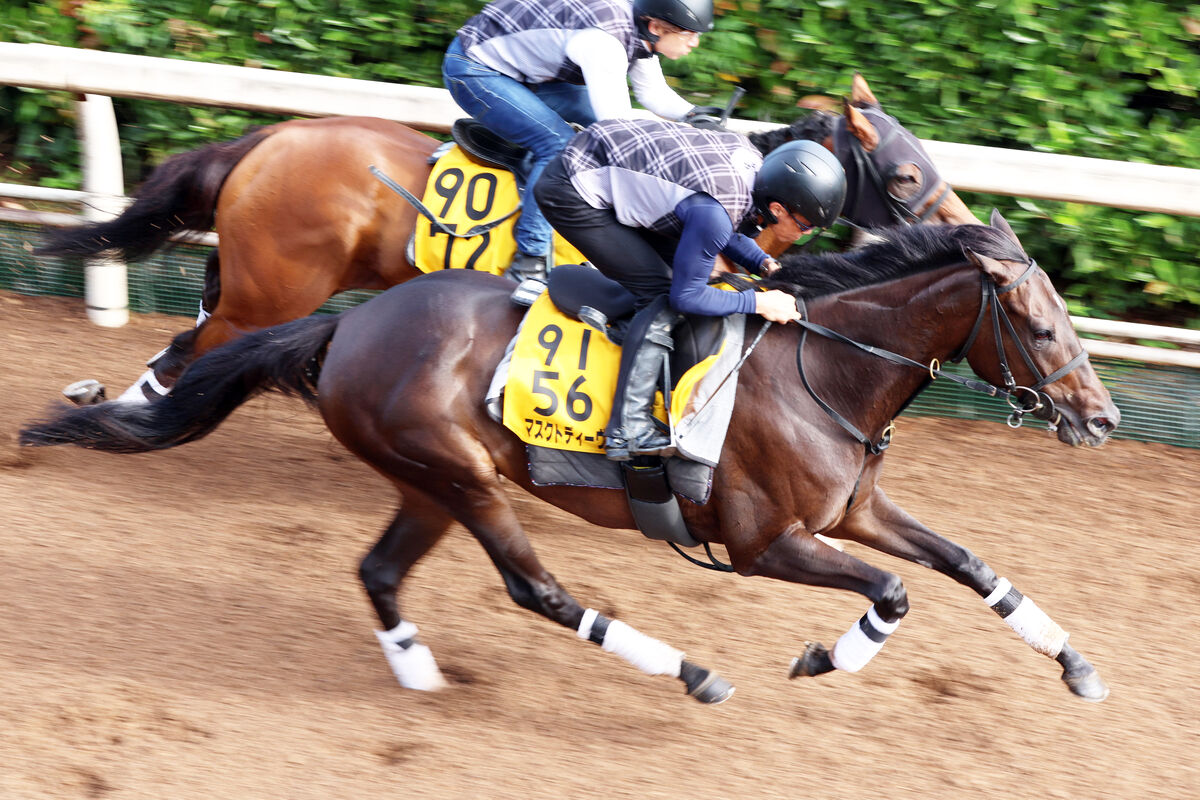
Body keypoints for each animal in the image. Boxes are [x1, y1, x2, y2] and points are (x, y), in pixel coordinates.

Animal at [23, 214, 1118, 705]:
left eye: (1065, 317)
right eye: (1036, 325)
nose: (1103, 419)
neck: (826, 368)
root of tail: (347, 327)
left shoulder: (850, 510)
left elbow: (970, 564)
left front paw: (1075, 661)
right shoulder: (765, 541)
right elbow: (894, 592)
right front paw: (823, 655)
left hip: (428, 479)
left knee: (379, 570)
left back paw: (418, 668)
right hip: (461, 474)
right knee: (535, 587)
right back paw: (690, 670)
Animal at [37, 73, 979, 407]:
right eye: (904, 177)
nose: (971, 228)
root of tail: (262, 141)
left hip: (243, 283)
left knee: (182, 346)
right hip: (272, 291)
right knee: (196, 351)